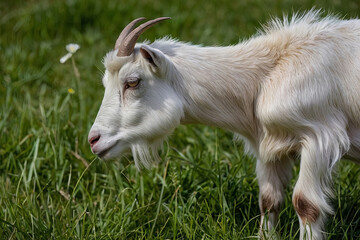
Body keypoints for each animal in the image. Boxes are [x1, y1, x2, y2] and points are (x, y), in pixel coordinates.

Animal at [88, 12, 360, 239]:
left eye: (132, 82)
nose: (93, 140)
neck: (266, 75)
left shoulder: (319, 137)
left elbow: (306, 204)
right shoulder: (271, 146)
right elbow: (268, 201)